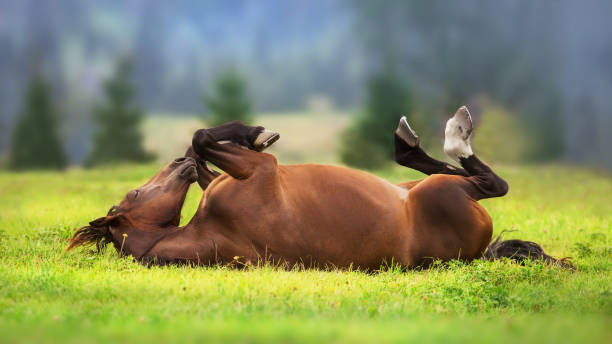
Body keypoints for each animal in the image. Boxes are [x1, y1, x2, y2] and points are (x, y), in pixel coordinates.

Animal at [68, 106, 568, 270]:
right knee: (488, 182)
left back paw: (409, 140)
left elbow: (202, 144)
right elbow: (206, 137)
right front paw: (256, 132)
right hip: (444, 194)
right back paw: (453, 134)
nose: (178, 166)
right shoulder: (261, 169)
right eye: (135, 196)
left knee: (431, 167)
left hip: (413, 186)